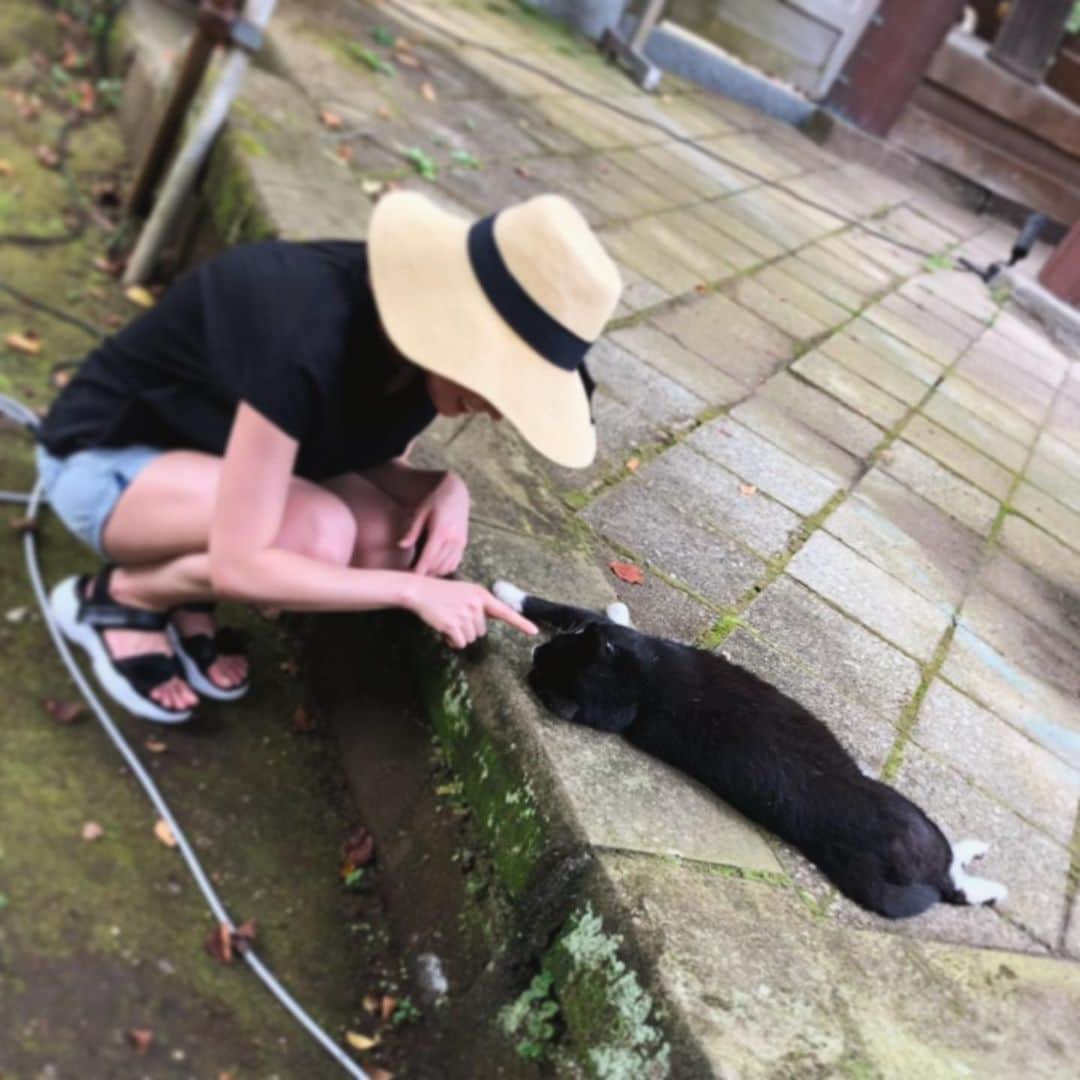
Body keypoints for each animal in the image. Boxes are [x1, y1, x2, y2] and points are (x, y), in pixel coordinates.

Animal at [494, 583, 1006, 920]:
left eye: (560, 646)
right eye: (545, 656)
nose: (537, 654)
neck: (644, 689)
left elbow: (568, 608)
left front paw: (508, 592)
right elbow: (573, 608)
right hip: (911, 822)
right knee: (949, 881)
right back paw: (987, 876)